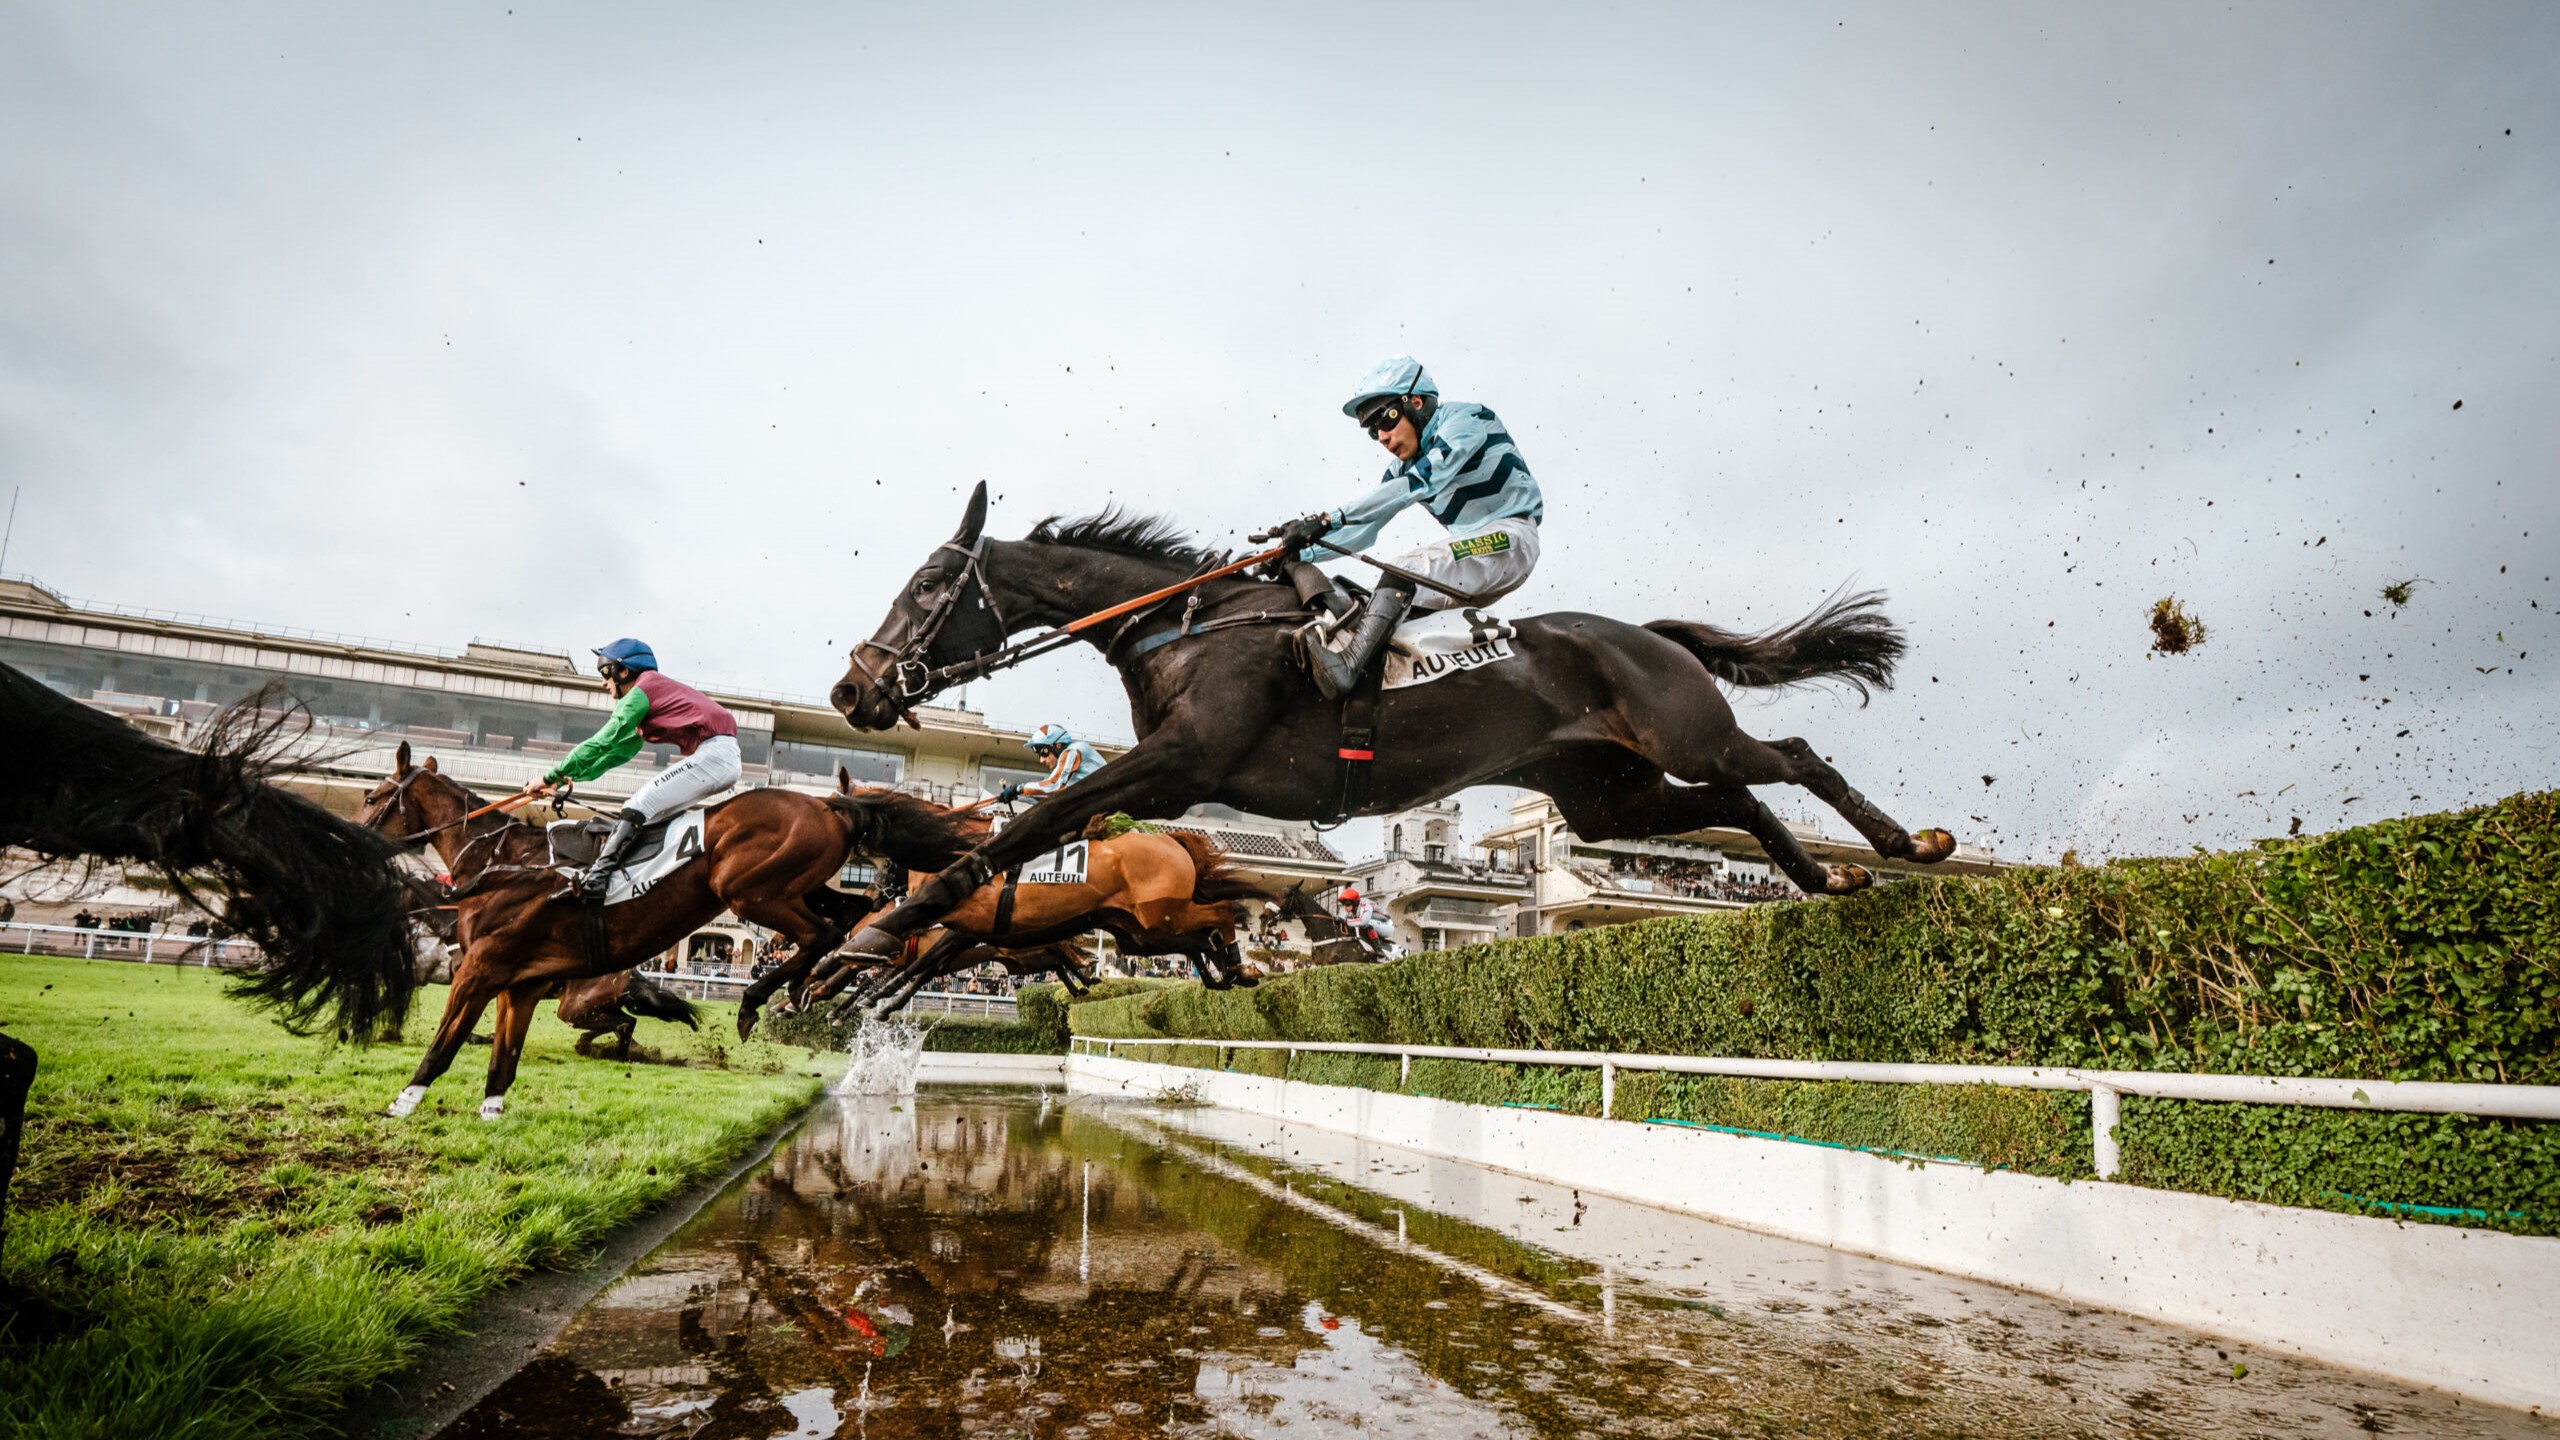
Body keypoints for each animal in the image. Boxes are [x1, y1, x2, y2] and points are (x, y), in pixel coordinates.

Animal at [829, 481, 1945, 953]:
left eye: (927, 587)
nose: (853, 691)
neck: (1187, 624)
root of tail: (1648, 636)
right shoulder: (1173, 780)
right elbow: (1041, 827)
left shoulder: (1184, 761)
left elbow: (1036, 822)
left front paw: (876, 932)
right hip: (1605, 799)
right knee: (1741, 802)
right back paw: (1827, 881)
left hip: (1682, 731)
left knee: (1789, 755)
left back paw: (1903, 844)